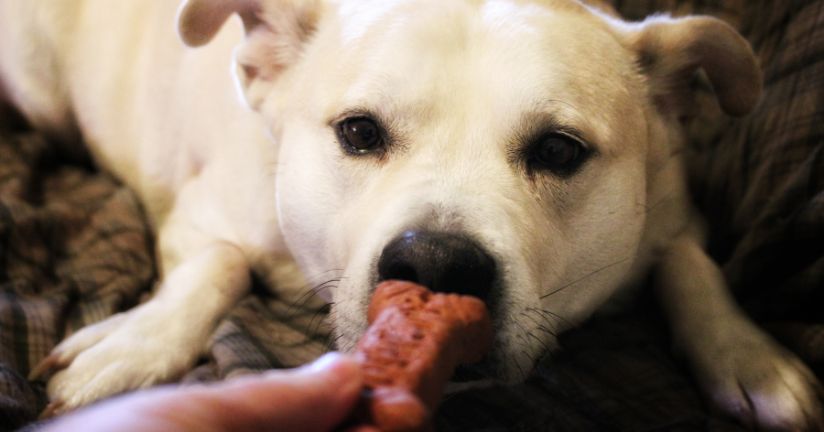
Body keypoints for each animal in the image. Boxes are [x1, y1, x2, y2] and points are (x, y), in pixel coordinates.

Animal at [0, 0, 820, 426]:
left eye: (559, 150)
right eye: (359, 133)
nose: (435, 263)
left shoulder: (675, 207)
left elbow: (691, 263)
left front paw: (745, 353)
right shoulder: (199, 218)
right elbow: (218, 266)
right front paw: (139, 340)